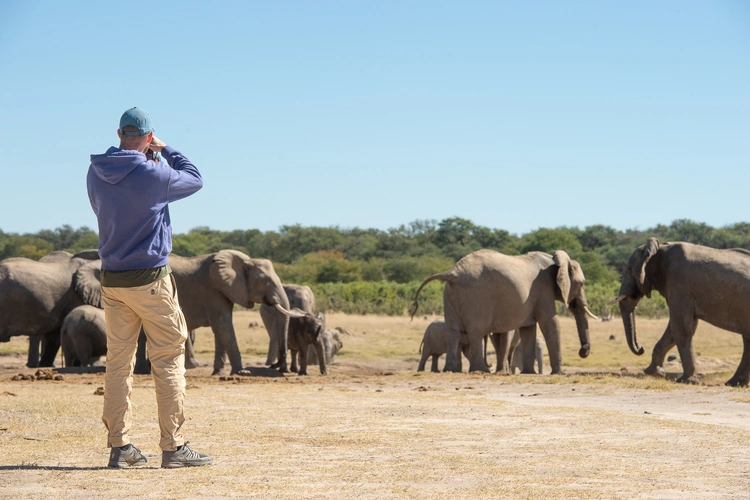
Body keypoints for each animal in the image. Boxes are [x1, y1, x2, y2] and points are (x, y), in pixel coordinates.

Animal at [169, 250, 304, 376]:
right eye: (262, 281)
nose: (272, 366)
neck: (247, 261)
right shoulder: (211, 290)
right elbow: (223, 325)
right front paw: (242, 372)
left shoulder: (226, 290)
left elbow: (220, 329)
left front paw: (219, 373)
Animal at [412, 248, 600, 374]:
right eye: (581, 284)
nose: (583, 351)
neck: (554, 260)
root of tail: (453, 272)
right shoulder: (543, 289)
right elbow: (550, 322)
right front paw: (559, 373)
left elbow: (528, 328)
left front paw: (528, 373)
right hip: (477, 296)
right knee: (476, 330)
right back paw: (480, 370)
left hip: (450, 293)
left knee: (453, 330)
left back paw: (451, 370)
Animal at [612, 238, 750, 386]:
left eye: (629, 269)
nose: (641, 348)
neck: (660, 248)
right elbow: (676, 329)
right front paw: (655, 373)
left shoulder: (679, 285)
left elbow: (681, 328)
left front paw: (685, 380)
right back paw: (734, 383)